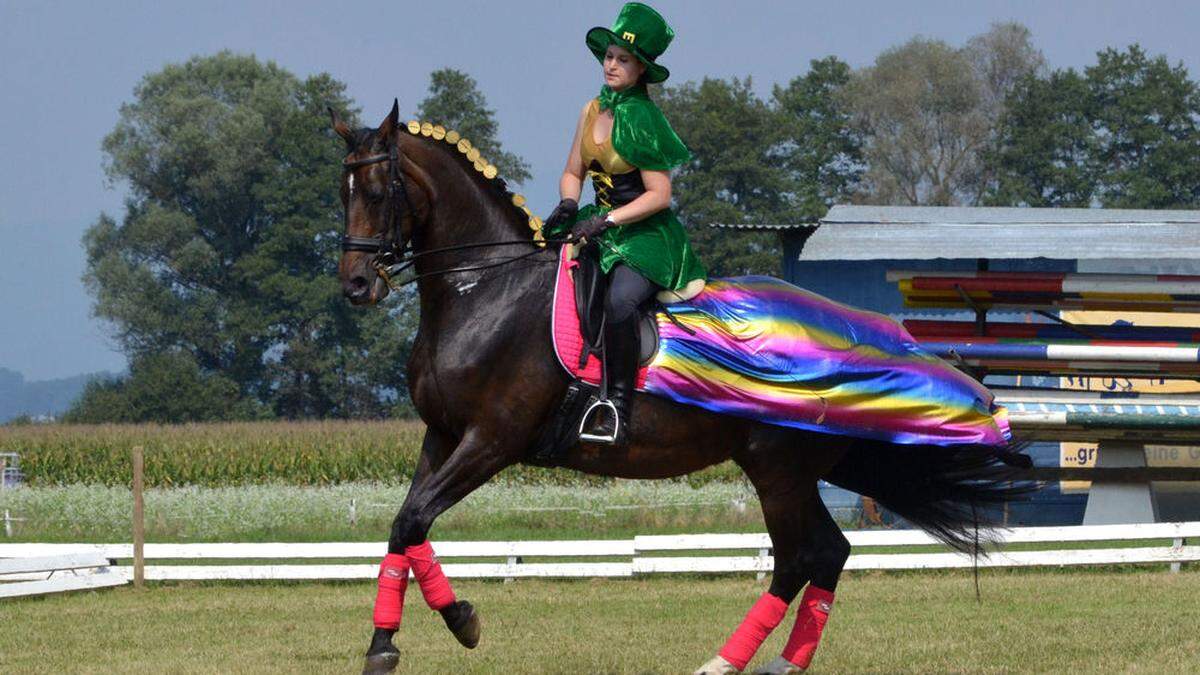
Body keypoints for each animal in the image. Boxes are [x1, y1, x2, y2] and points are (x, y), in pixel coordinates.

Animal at [333, 100, 1027, 672]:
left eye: (380, 188)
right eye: (342, 192)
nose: (357, 286)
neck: (484, 288)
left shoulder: (492, 440)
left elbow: (416, 518)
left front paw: (460, 622)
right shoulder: (442, 436)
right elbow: (405, 527)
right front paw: (388, 643)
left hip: (778, 469)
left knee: (802, 557)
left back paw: (725, 663)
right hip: (790, 471)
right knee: (829, 553)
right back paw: (781, 664)